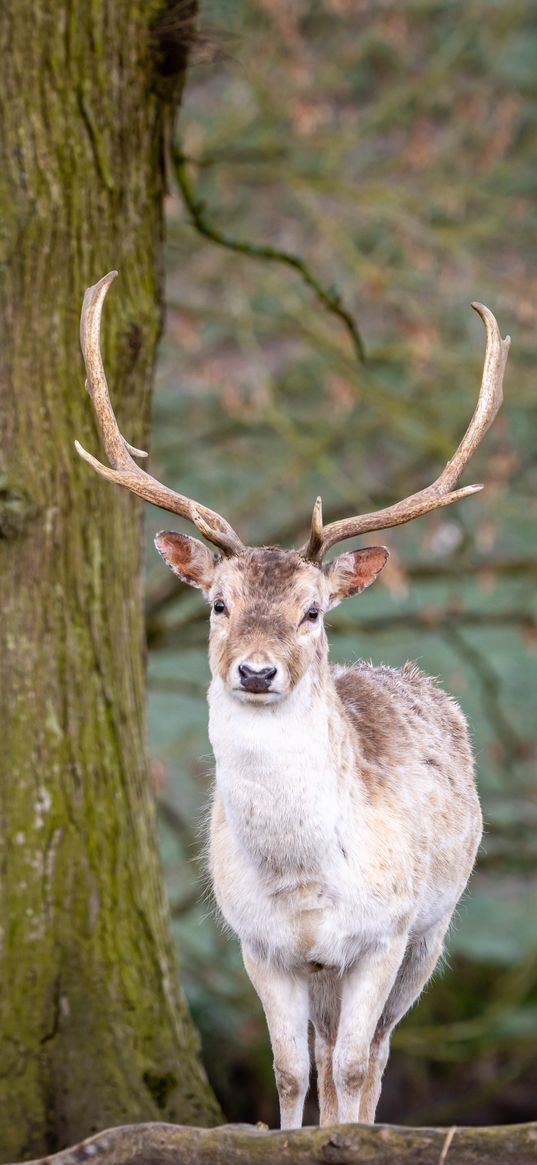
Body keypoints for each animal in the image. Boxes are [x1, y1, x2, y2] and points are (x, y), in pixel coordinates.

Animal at [75, 272, 505, 1127]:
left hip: (433, 930)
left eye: (312, 610)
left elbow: (352, 1066)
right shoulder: (260, 943)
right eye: (218, 602)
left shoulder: (383, 931)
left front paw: (346, 1137)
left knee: (373, 1053)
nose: (255, 671)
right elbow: (288, 1069)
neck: (304, 878)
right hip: (327, 966)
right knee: (327, 1049)